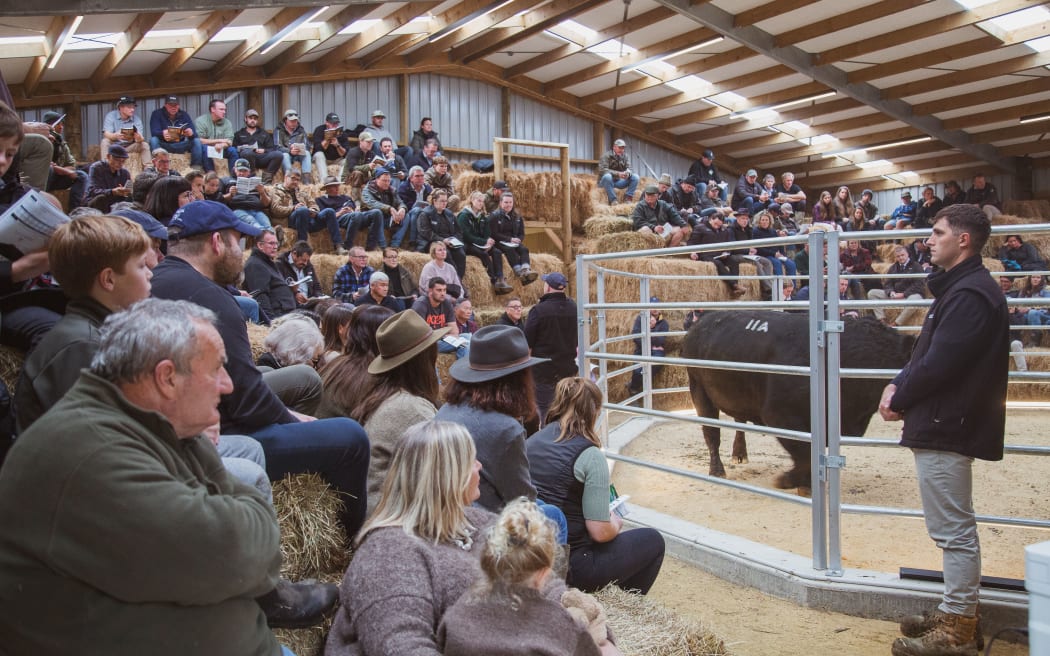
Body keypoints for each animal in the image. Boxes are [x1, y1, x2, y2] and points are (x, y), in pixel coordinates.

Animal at [680, 308, 911, 489]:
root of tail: (702, 321)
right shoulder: (779, 416)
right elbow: (804, 454)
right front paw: (789, 480)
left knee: (739, 420)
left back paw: (740, 453)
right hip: (699, 389)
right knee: (711, 433)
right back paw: (717, 470)